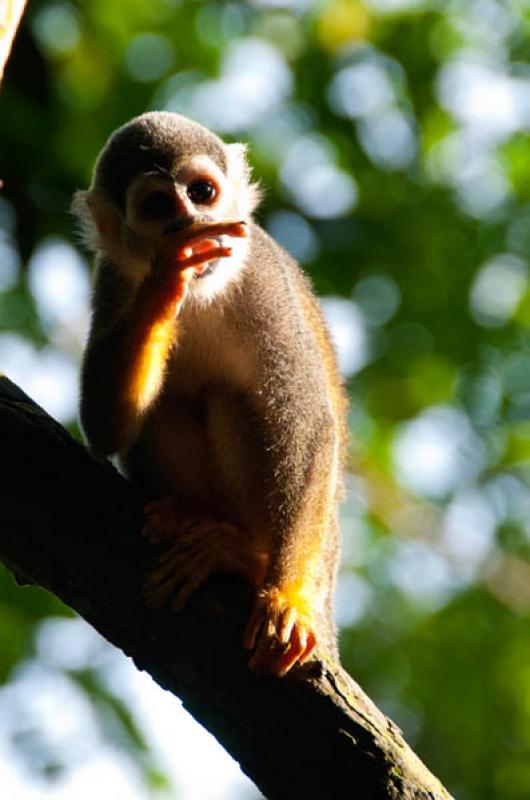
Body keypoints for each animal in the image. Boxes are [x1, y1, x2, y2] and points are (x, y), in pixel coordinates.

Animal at [74, 112, 346, 676]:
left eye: (201, 193)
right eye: (158, 207)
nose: (186, 223)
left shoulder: (262, 276)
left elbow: (307, 418)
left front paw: (285, 599)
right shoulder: (111, 279)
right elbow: (104, 426)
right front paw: (164, 279)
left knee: (238, 401)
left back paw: (250, 557)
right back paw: (189, 515)